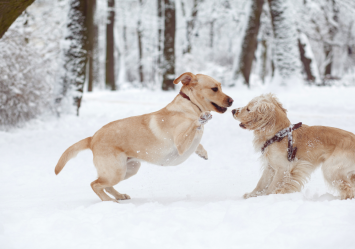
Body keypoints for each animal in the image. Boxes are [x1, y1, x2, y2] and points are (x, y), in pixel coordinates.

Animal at [55, 72, 234, 202]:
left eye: (220, 87)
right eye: (215, 89)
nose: (232, 101)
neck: (189, 105)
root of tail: (92, 138)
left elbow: (198, 142)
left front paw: (203, 152)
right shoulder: (181, 144)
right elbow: (195, 126)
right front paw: (202, 118)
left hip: (129, 169)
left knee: (104, 185)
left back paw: (119, 196)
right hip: (116, 171)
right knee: (95, 184)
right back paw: (109, 201)